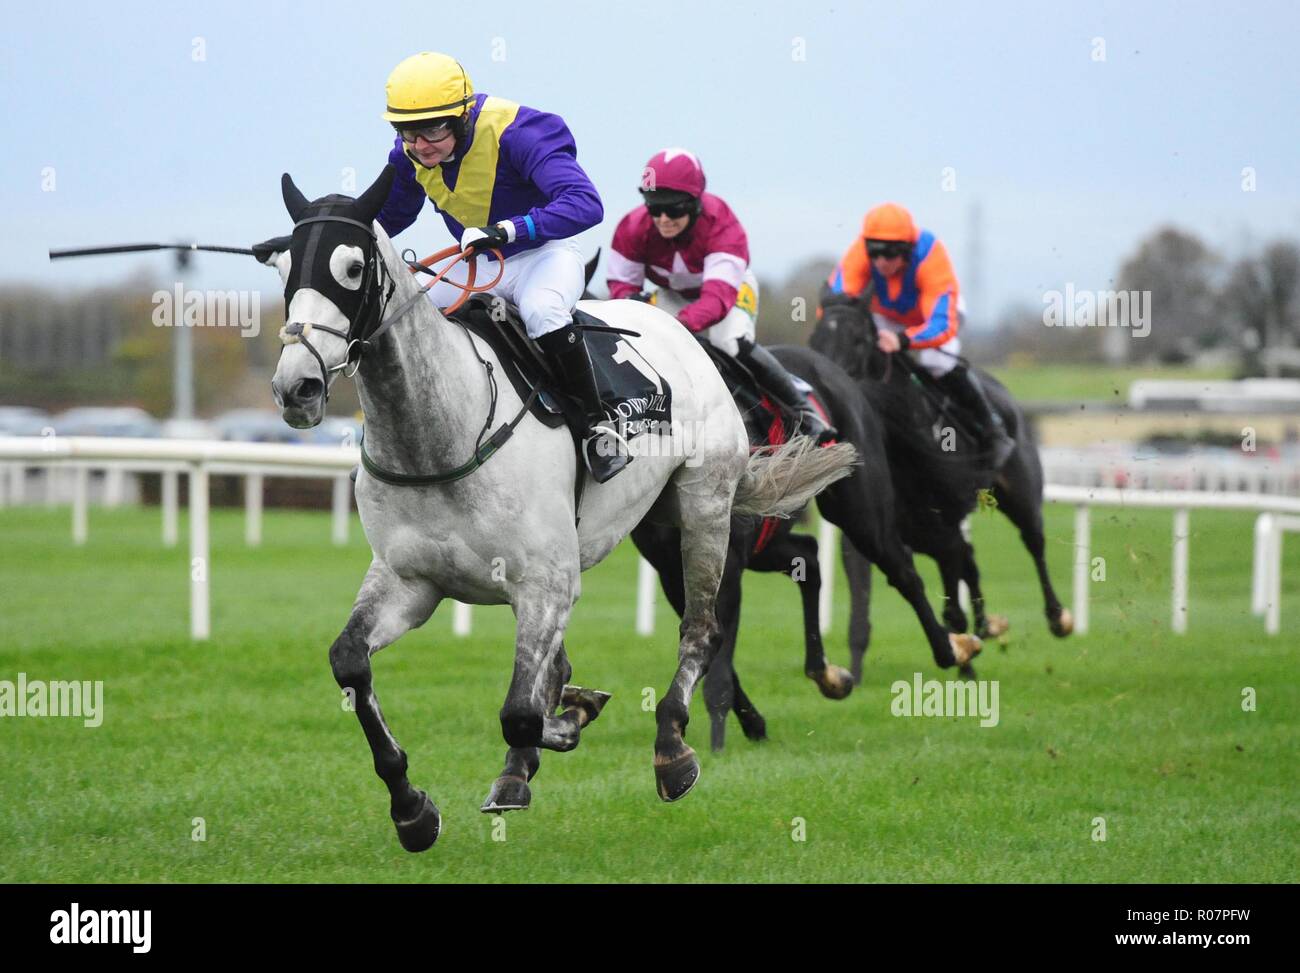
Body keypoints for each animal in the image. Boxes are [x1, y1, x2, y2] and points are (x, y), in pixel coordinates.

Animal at [629, 340, 977, 754]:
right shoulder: (671, 573)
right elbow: (709, 647)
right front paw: (751, 724)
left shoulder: (728, 570)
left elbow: (717, 661)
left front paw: (714, 741)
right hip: (770, 541)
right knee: (808, 557)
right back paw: (825, 674)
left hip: (860, 512)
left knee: (903, 572)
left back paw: (951, 648)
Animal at [811, 292, 1076, 681]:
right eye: (816, 338)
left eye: (858, 340)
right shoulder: (870, 531)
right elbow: (862, 606)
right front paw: (853, 674)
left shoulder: (942, 529)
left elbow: (952, 604)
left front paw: (964, 660)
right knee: (972, 561)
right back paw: (987, 626)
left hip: (1020, 495)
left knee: (1034, 542)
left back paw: (1058, 617)